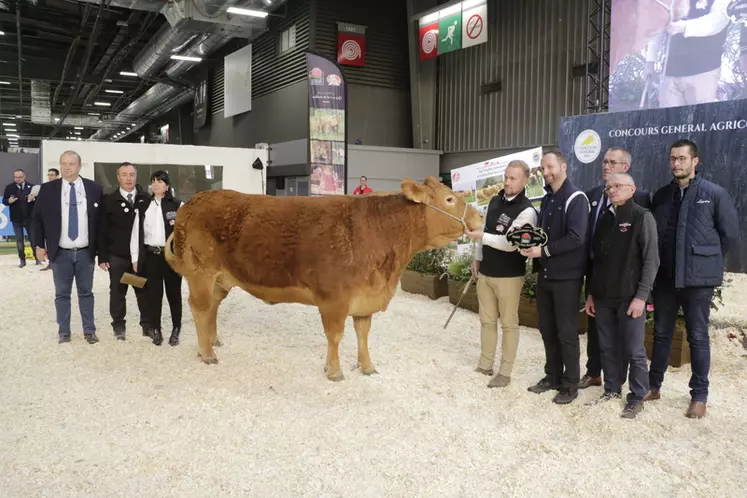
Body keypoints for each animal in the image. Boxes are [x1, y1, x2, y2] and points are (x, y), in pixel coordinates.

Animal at [164, 178, 482, 382]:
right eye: (449, 199)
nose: (479, 217)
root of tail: (192, 202)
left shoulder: (364, 299)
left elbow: (363, 334)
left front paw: (367, 367)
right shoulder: (334, 299)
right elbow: (335, 336)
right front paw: (335, 372)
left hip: (221, 279)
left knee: (213, 309)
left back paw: (213, 341)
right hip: (200, 273)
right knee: (199, 308)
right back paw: (206, 353)